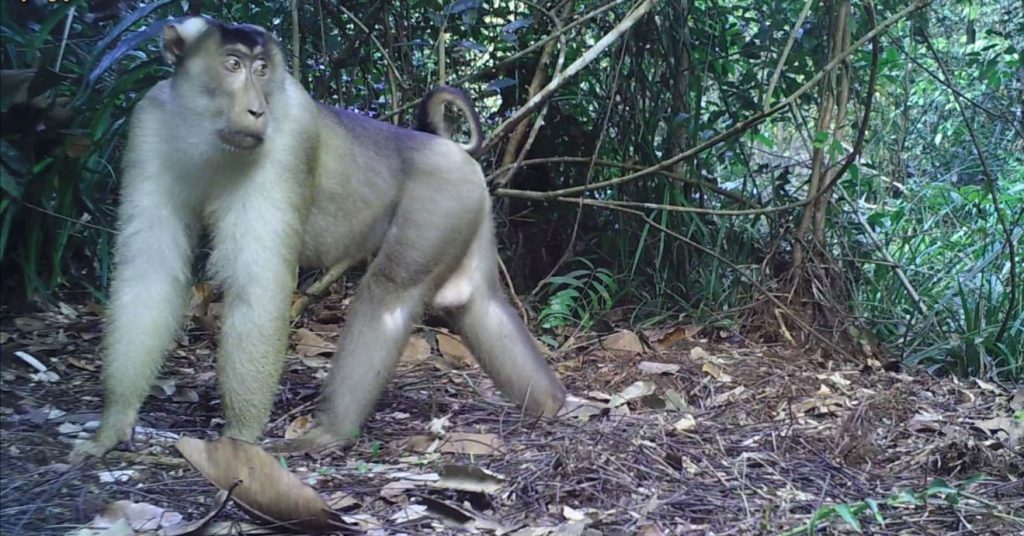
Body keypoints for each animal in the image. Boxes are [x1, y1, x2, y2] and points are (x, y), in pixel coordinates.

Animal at [69, 16, 566, 461]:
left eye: (261, 69)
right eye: (232, 64)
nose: (256, 109)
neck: (209, 135)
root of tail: (444, 147)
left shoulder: (288, 136)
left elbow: (259, 286)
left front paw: (238, 443)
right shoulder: (149, 123)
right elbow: (148, 272)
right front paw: (114, 424)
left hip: (439, 200)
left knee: (389, 294)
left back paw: (332, 431)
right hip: (465, 204)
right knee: (470, 298)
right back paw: (551, 406)